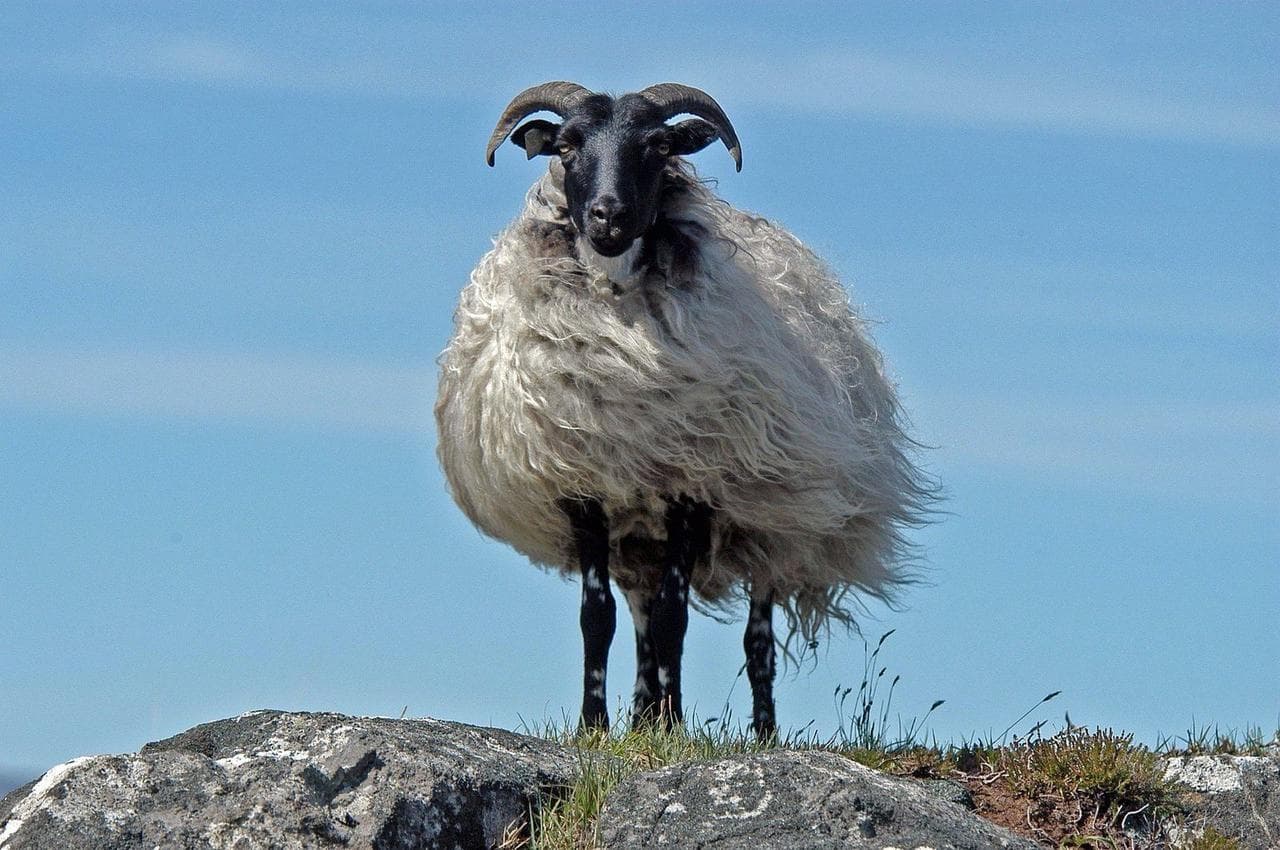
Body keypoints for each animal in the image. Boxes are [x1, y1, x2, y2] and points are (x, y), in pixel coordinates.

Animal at [435, 81, 934, 740]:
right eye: (566, 146)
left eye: (659, 146)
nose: (609, 215)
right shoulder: (584, 489)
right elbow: (598, 616)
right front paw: (597, 728)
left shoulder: (695, 486)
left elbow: (677, 617)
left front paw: (670, 731)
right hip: (641, 539)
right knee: (643, 622)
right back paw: (644, 715)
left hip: (773, 519)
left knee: (756, 640)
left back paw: (759, 733)